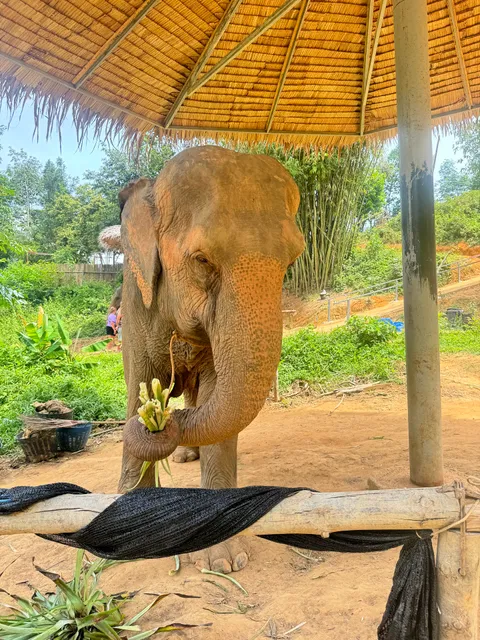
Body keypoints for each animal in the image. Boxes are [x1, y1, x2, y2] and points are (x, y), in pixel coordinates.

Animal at [99, 145, 304, 572]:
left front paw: (225, 562)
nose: (164, 423)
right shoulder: (135, 302)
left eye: (292, 261)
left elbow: (214, 390)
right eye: (202, 260)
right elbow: (139, 383)